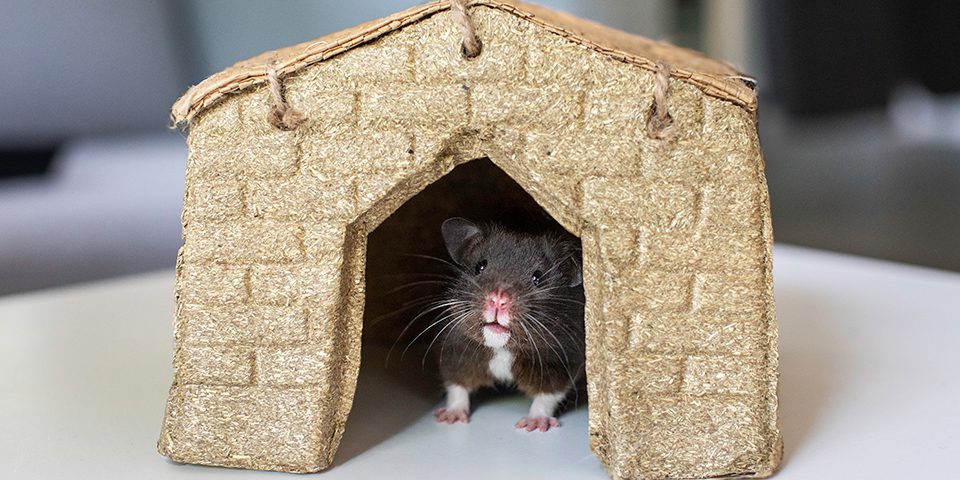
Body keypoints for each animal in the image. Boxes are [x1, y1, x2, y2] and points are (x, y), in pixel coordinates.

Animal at [432, 217, 585, 432]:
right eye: (480, 266)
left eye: (538, 277)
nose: (498, 300)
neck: (502, 348)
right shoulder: (455, 348)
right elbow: (457, 384)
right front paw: (449, 418)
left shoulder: (563, 360)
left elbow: (547, 395)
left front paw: (533, 424)